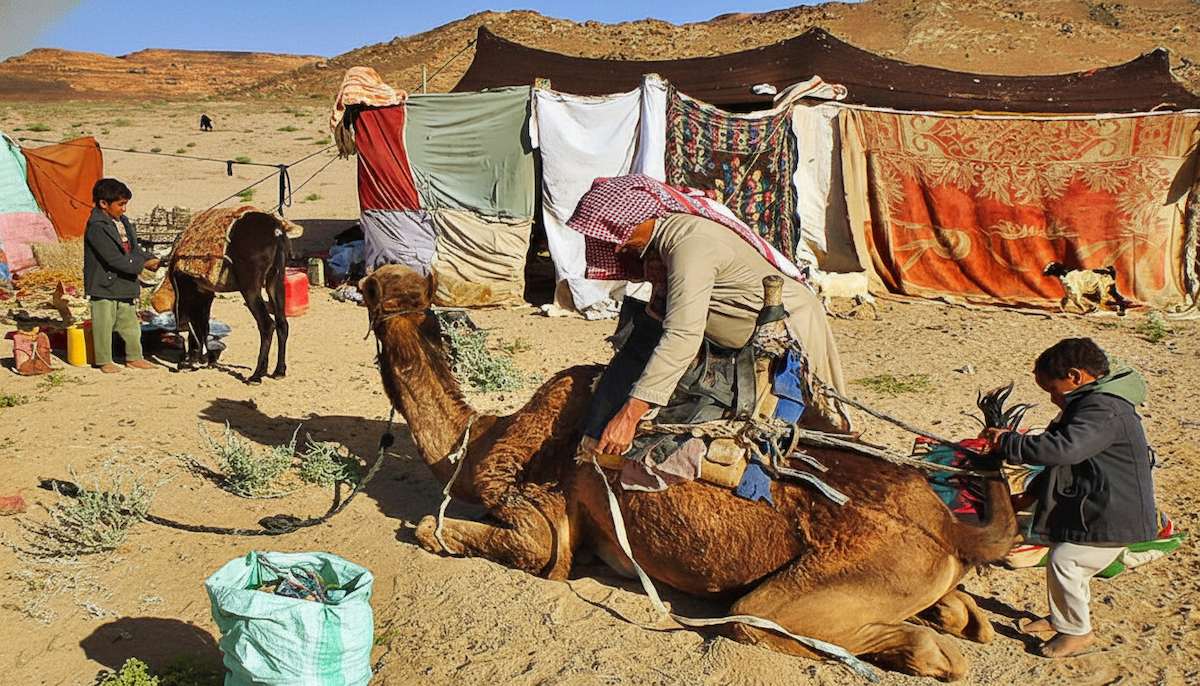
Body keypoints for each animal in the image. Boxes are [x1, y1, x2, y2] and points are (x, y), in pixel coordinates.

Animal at [361, 265, 1018, 681]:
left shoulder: (538, 517)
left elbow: (462, 534)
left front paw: (427, 529)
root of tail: (950, 527)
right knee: (963, 616)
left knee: (795, 628)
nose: (369, 286)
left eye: (376, 290)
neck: (477, 438)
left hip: (826, 583)